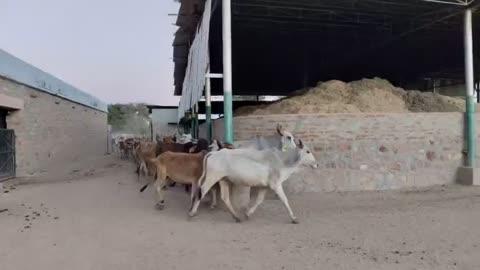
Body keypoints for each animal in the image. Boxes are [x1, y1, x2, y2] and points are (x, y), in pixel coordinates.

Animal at [188, 139, 318, 224]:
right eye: (308, 151)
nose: (316, 164)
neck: (282, 160)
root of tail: (214, 152)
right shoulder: (276, 184)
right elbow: (285, 200)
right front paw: (294, 218)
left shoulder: (264, 186)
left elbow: (259, 200)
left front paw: (247, 213)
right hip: (212, 177)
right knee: (202, 191)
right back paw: (192, 212)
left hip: (223, 180)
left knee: (224, 197)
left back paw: (236, 217)